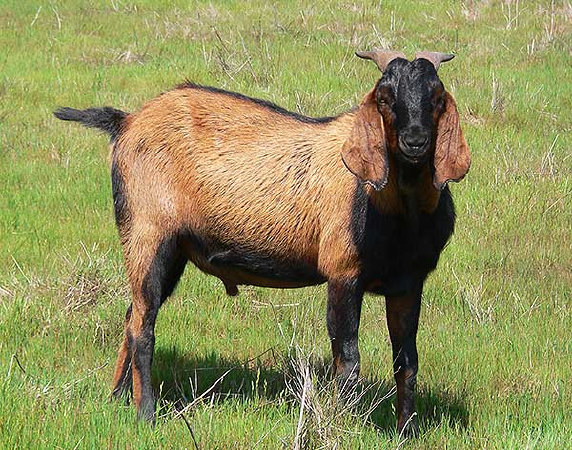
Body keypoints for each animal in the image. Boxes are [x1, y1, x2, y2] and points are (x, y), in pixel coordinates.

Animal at [54, 50, 470, 436]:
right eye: (384, 97)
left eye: (437, 96)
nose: (415, 141)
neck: (397, 211)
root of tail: (126, 122)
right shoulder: (343, 271)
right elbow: (348, 359)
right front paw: (345, 426)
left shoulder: (409, 282)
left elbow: (407, 360)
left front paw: (407, 431)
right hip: (147, 232)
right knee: (143, 325)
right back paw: (146, 414)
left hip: (173, 251)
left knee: (132, 315)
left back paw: (118, 397)